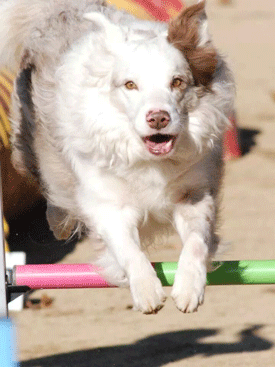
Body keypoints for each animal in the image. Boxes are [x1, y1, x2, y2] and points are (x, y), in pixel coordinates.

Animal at [0, 0, 235, 314]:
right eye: (130, 85)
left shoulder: (194, 194)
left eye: (177, 82)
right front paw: (147, 290)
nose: (158, 117)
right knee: (49, 181)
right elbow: (127, 248)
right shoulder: (109, 204)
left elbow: (197, 242)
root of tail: (57, 9)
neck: (148, 159)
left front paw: (189, 288)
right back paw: (59, 221)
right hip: (30, 145)